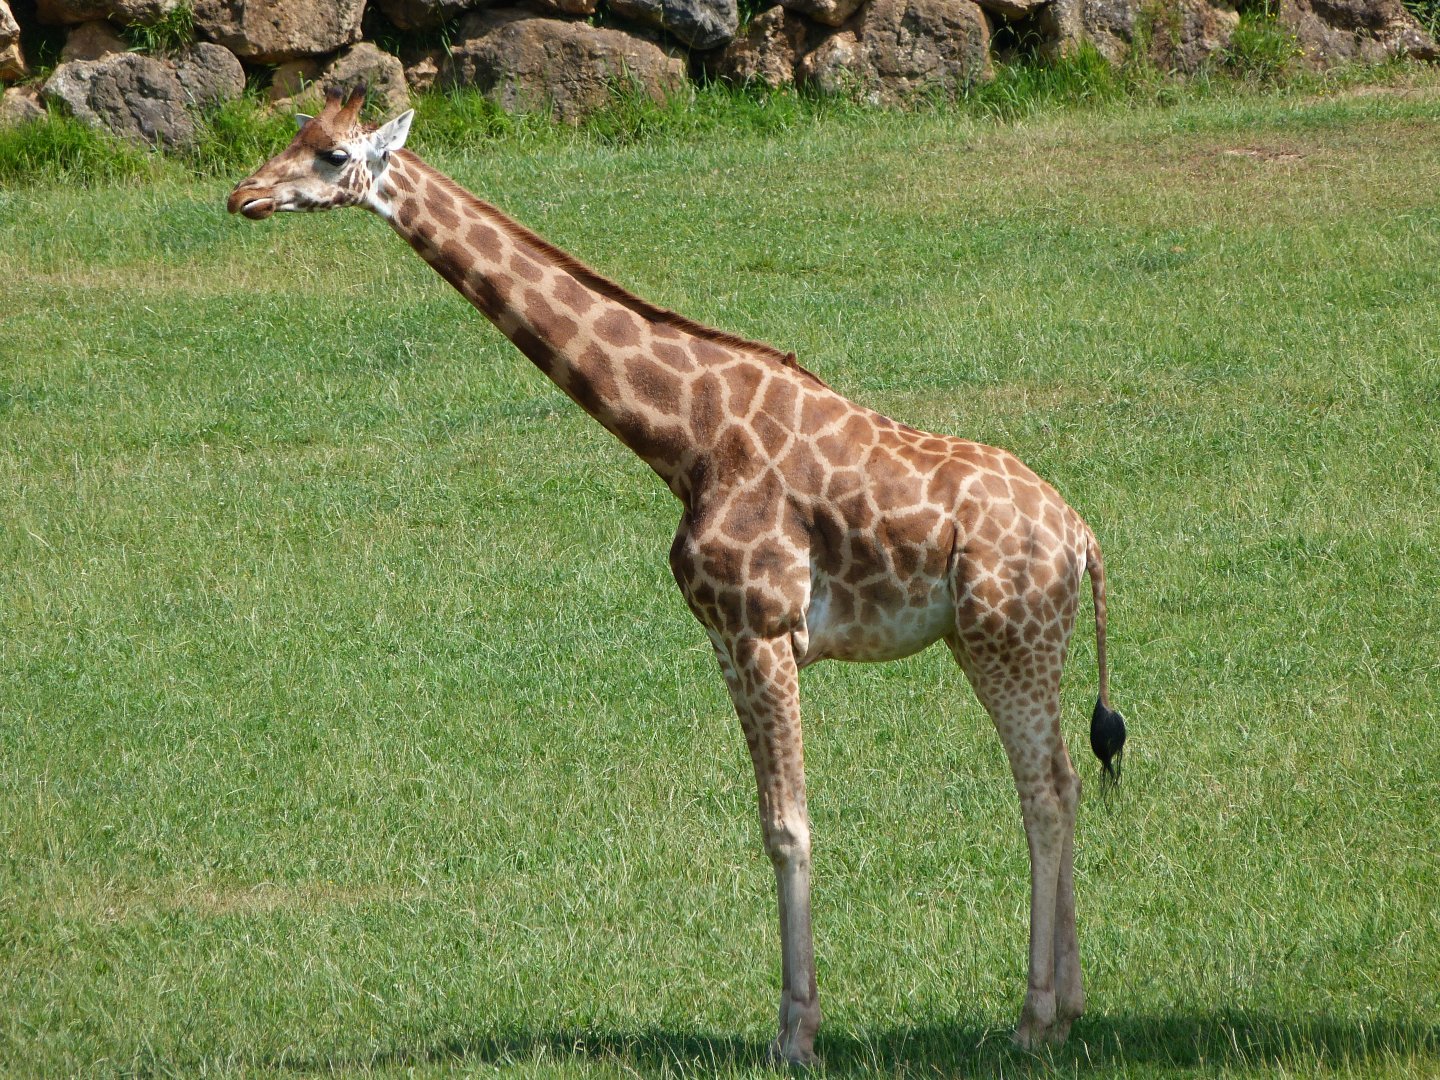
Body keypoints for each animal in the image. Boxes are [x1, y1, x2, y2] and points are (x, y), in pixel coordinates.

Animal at [228, 85, 1127, 1064]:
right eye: (294, 136)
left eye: (330, 155)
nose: (242, 195)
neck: (686, 437)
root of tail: (1082, 536)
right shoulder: (726, 642)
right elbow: (774, 822)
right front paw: (795, 1025)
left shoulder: (760, 629)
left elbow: (788, 826)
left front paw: (795, 1037)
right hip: (988, 641)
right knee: (1062, 782)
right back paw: (1069, 1010)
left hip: (1011, 637)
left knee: (1042, 792)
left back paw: (1033, 1021)